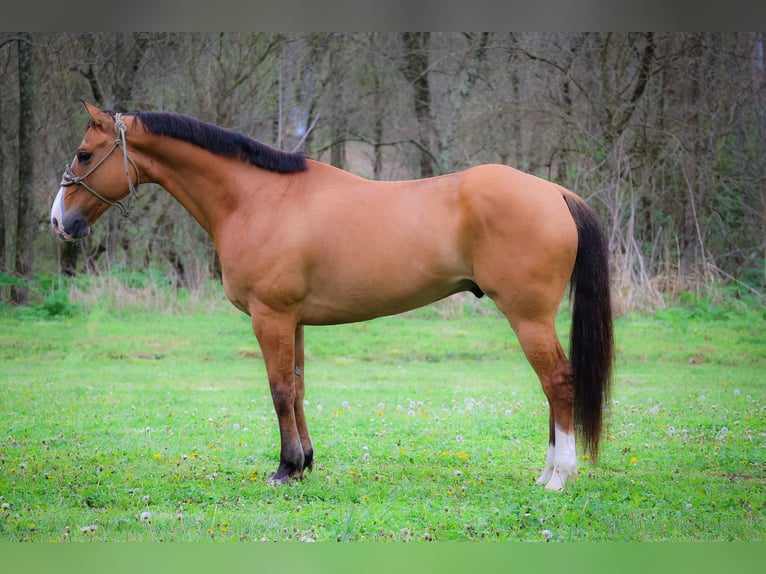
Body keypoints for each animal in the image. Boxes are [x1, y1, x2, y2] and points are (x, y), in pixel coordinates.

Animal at [51, 102, 616, 490]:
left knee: (558, 382)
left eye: (83, 153)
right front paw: (304, 464)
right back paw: (546, 472)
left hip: (528, 317)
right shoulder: (293, 320)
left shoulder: (270, 317)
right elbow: (298, 389)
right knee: (552, 386)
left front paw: (284, 469)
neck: (257, 199)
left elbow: (279, 390)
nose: (59, 222)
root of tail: (555, 192)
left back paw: (559, 476)